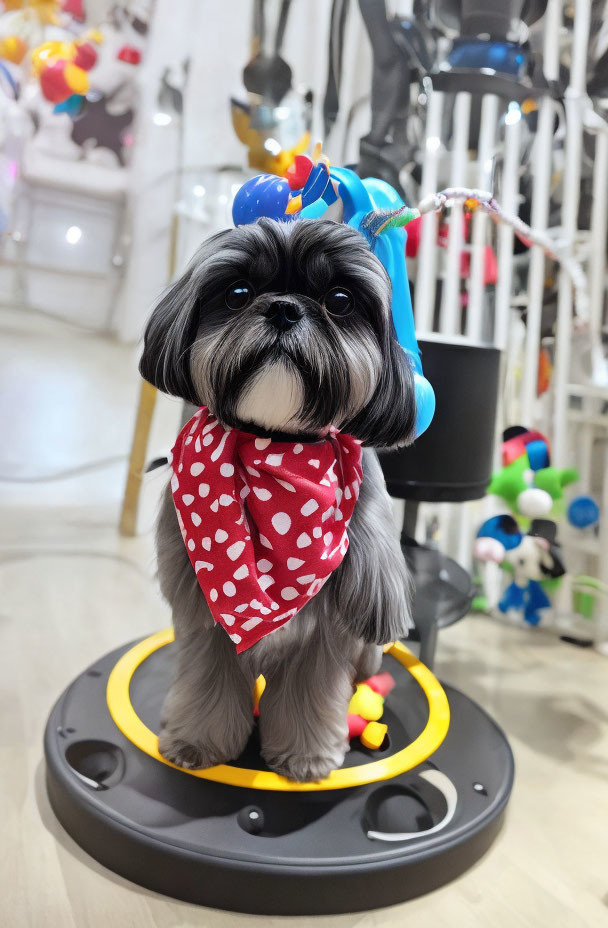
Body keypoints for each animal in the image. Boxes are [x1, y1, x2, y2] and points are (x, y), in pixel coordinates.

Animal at [141, 218, 418, 784]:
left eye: (339, 300)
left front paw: (306, 756)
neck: (277, 448)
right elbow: (208, 682)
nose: (285, 308)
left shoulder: (328, 633)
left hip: (368, 654)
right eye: (238, 293)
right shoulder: (206, 617)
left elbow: (309, 695)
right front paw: (197, 742)